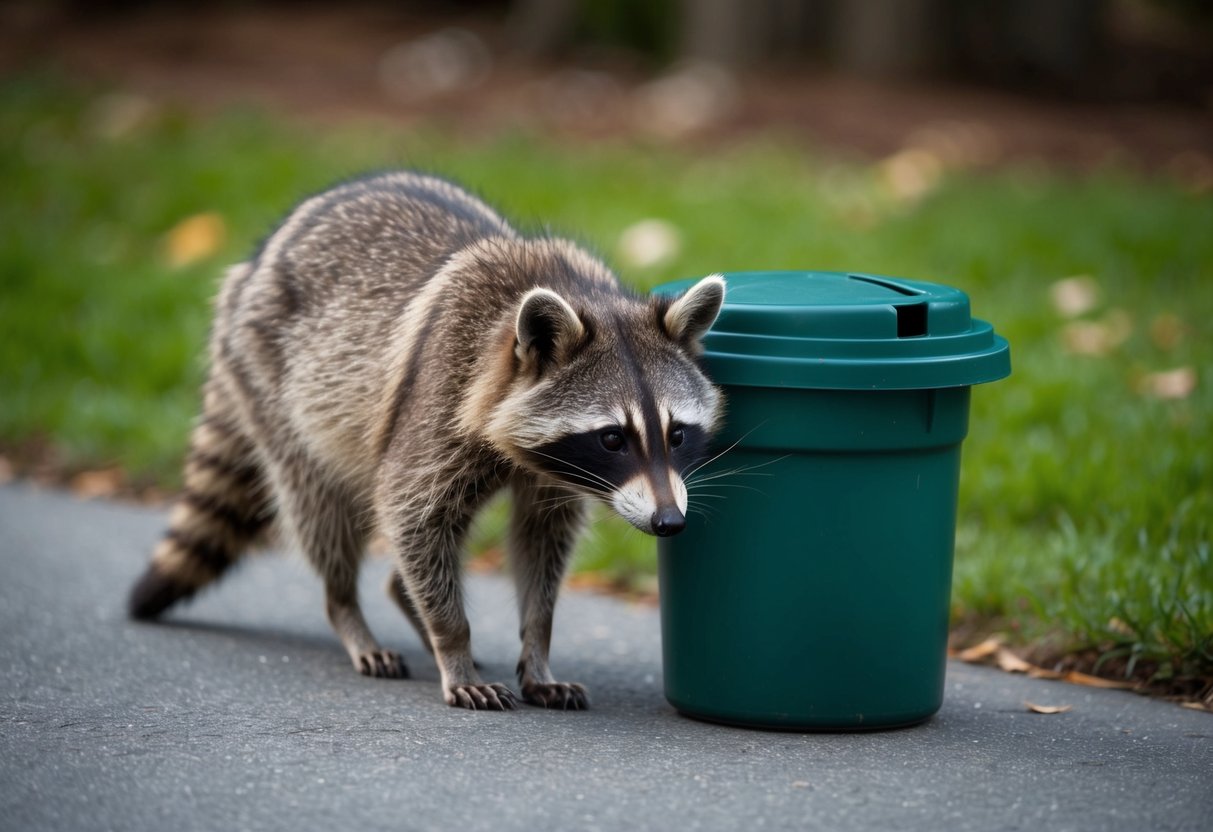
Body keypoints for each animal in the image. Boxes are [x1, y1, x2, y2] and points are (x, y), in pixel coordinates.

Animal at [128, 171, 725, 711]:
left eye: (676, 434)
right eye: (612, 439)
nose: (669, 522)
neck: (576, 292)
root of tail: (251, 268)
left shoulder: (550, 474)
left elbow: (541, 542)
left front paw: (537, 647)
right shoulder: (437, 393)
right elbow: (409, 510)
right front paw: (452, 640)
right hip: (274, 388)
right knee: (321, 509)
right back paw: (348, 610)